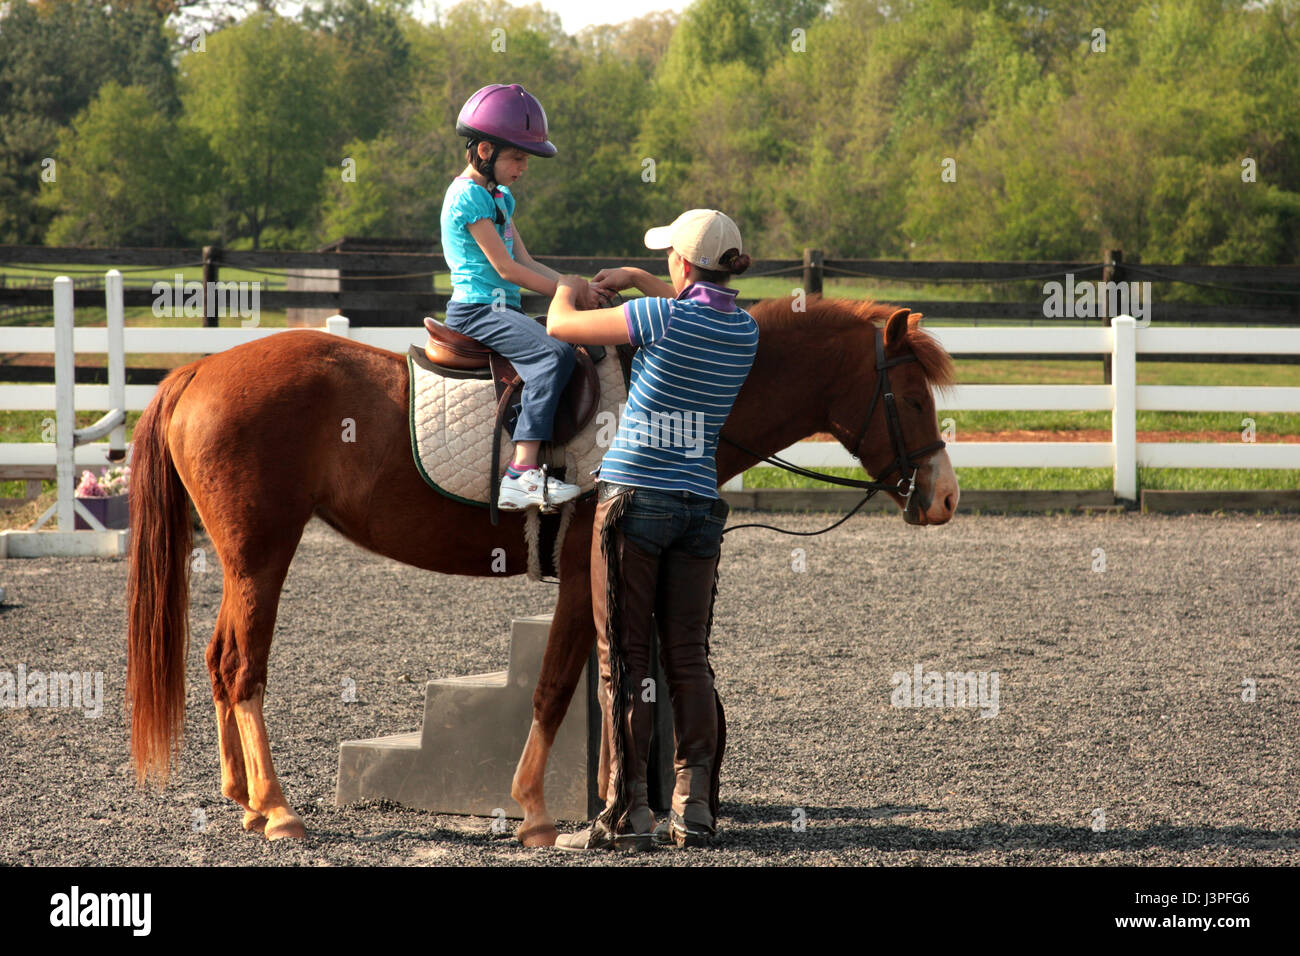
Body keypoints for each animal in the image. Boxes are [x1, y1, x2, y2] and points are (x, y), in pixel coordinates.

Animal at [124, 299, 956, 842]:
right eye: (913, 398)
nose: (945, 497)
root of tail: (200, 369)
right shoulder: (588, 577)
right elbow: (561, 686)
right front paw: (536, 812)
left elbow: (615, 683)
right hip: (262, 555)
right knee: (243, 668)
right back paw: (277, 809)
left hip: (244, 561)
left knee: (218, 660)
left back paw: (243, 796)